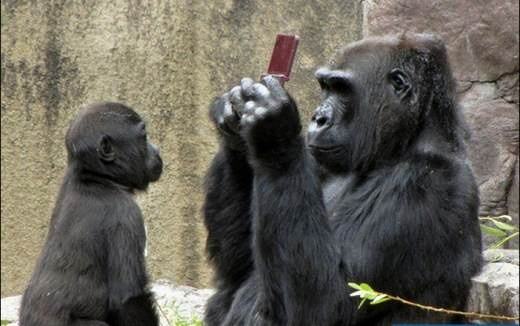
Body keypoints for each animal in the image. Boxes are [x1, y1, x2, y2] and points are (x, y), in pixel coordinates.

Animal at [203, 31, 484, 324]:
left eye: (342, 89)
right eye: (325, 87)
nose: (319, 118)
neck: (403, 143)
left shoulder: (425, 184)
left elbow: (326, 303)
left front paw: (272, 127)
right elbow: (239, 269)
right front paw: (233, 124)